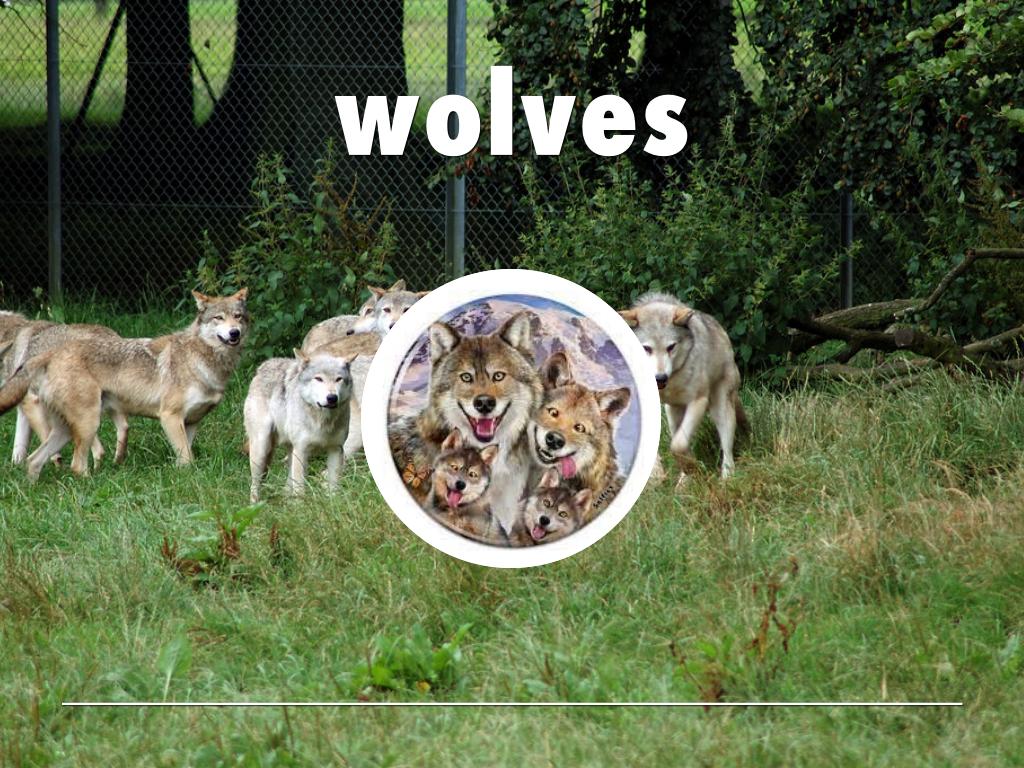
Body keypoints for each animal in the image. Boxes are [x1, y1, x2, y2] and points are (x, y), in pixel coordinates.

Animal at [0, 290, 249, 480]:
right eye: (218, 318)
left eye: (238, 316)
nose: (234, 333)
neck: (203, 360)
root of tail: (50, 353)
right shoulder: (169, 417)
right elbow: (188, 459)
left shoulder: (192, 423)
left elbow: (184, 459)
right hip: (88, 424)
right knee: (76, 466)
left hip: (66, 431)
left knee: (33, 461)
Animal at [244, 348, 354, 501]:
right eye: (318, 379)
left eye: (339, 379)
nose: (332, 398)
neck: (322, 421)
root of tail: (263, 366)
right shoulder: (301, 450)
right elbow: (300, 489)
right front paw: (301, 506)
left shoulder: (336, 450)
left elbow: (333, 486)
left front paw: (334, 503)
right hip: (261, 450)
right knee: (255, 484)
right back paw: (255, 504)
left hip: (290, 451)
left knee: (287, 484)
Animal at [619, 292, 748, 485]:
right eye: (647, 348)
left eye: (671, 347)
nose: (660, 378)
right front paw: (657, 475)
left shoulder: (698, 401)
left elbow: (678, 446)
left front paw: (691, 467)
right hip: (672, 412)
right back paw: (684, 481)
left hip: (720, 408)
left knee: (726, 447)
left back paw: (726, 476)